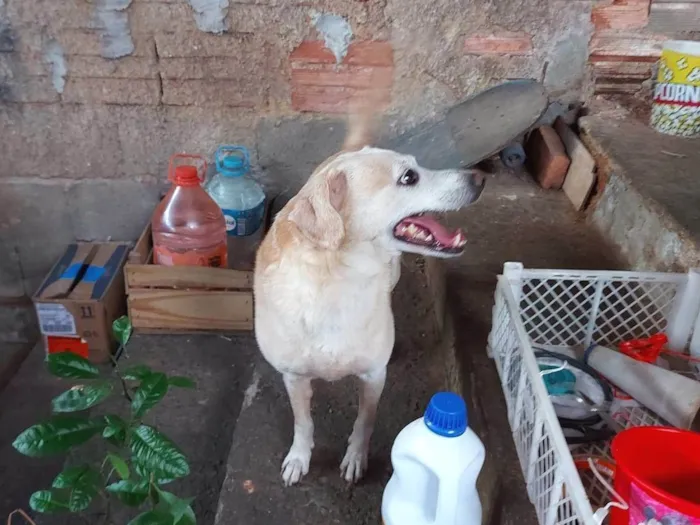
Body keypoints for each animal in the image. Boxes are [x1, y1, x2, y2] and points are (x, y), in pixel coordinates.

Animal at [254, 107, 484, 488]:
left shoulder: (374, 375)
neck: (338, 280)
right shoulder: (294, 377)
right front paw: (299, 458)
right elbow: (303, 422)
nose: (480, 178)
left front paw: (356, 459)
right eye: (409, 177)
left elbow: (365, 421)